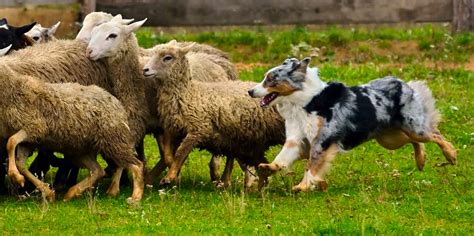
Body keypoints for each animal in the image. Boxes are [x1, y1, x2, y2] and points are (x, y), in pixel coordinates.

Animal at [0, 66, 144, 203]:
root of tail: (117, 103)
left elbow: (11, 142)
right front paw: (44, 190)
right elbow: (19, 162)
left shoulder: (35, 127)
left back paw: (134, 196)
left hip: (113, 140)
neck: (14, 88)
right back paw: (73, 192)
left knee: (136, 165)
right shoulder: (30, 140)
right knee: (98, 170)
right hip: (82, 151)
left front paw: (15, 175)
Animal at [248, 57, 456, 192]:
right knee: (415, 141)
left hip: (414, 128)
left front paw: (303, 185)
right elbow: (282, 157)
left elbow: (312, 165)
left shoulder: (321, 141)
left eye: (270, 79)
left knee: (435, 134)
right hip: (390, 138)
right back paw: (421, 160)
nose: (250, 91)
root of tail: (403, 83)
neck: (304, 101)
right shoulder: (296, 140)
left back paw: (451, 155)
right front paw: (269, 167)